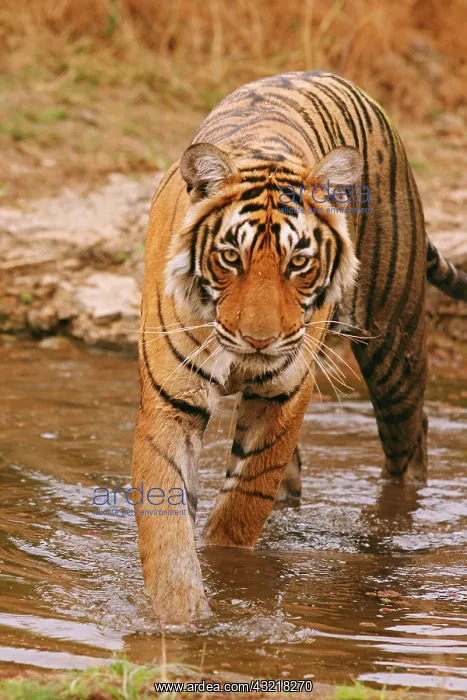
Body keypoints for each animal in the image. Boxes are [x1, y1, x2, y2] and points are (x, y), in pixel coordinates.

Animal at [131, 70, 467, 623]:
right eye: (231, 257)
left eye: (298, 263)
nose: (259, 340)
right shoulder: (171, 402)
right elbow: (168, 527)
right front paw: (180, 617)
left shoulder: (285, 395)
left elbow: (242, 506)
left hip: (396, 351)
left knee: (411, 440)